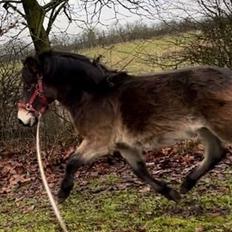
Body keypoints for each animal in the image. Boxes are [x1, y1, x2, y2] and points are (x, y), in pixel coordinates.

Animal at [17, 50, 231, 203]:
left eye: (29, 86)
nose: (22, 119)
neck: (94, 94)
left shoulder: (98, 142)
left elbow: (72, 162)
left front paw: (62, 194)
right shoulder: (125, 146)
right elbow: (141, 172)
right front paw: (171, 194)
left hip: (219, 127)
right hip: (205, 130)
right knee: (216, 153)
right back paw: (187, 184)